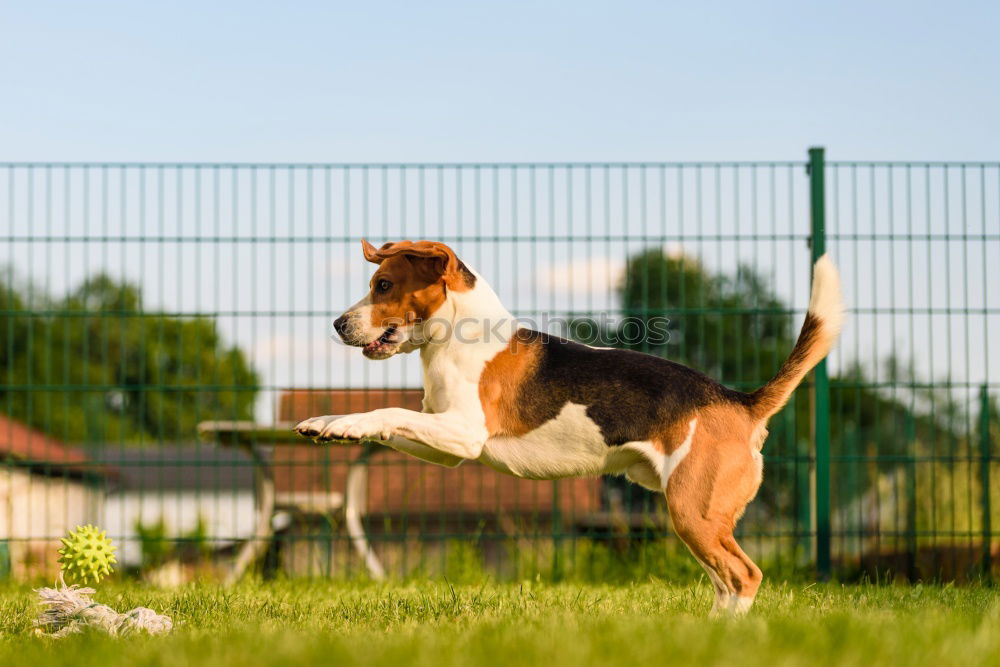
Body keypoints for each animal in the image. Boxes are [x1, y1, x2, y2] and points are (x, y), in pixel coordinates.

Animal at [298, 241, 844, 616]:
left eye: (384, 285)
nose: (337, 325)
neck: (456, 336)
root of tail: (739, 401)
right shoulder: (445, 444)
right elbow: (389, 421)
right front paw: (328, 424)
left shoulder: (464, 433)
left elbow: (387, 411)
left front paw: (346, 421)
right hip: (698, 519)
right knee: (726, 584)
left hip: (695, 512)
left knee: (744, 577)